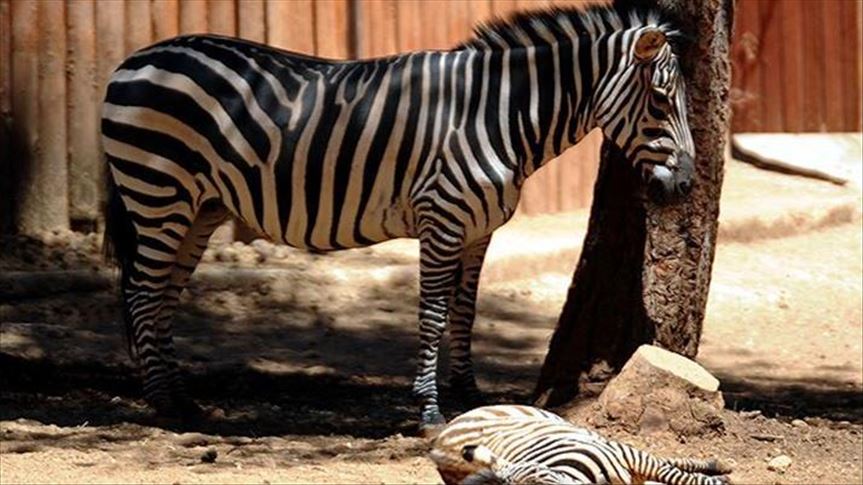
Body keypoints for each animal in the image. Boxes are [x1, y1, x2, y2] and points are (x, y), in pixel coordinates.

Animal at [101, 5, 696, 432]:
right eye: (660, 101)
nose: (688, 185)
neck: (498, 115)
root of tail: (137, 57)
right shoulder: (443, 218)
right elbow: (432, 313)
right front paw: (430, 409)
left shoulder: (479, 230)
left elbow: (464, 313)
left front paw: (469, 396)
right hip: (158, 191)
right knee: (141, 293)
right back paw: (162, 404)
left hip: (199, 206)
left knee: (164, 295)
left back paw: (183, 399)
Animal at [428, 404, 732, 484]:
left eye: (543, 476)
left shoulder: (632, 457)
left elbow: (681, 477)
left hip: (578, 429)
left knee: (671, 463)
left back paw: (718, 465)